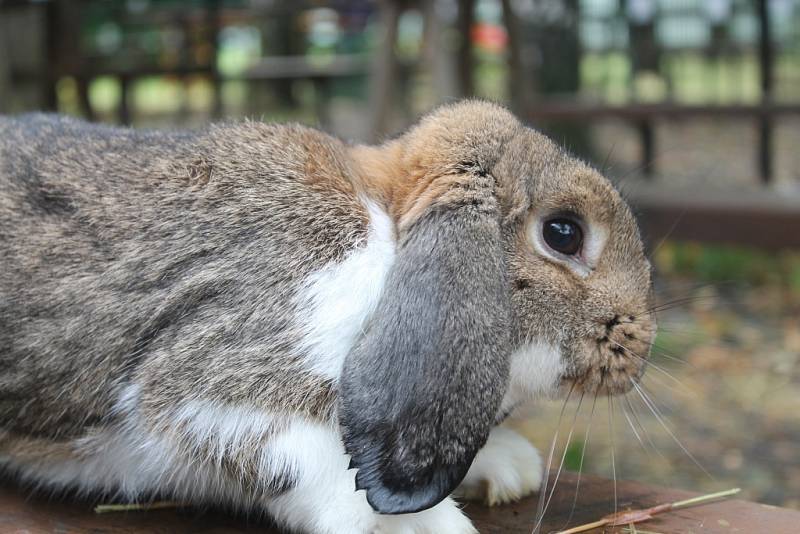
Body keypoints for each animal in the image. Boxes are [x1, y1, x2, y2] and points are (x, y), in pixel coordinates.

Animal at [0, 100, 656, 534]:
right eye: (563, 233)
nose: (640, 348)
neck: (387, 234)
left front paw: (506, 467)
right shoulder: (214, 387)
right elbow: (318, 473)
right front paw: (436, 527)